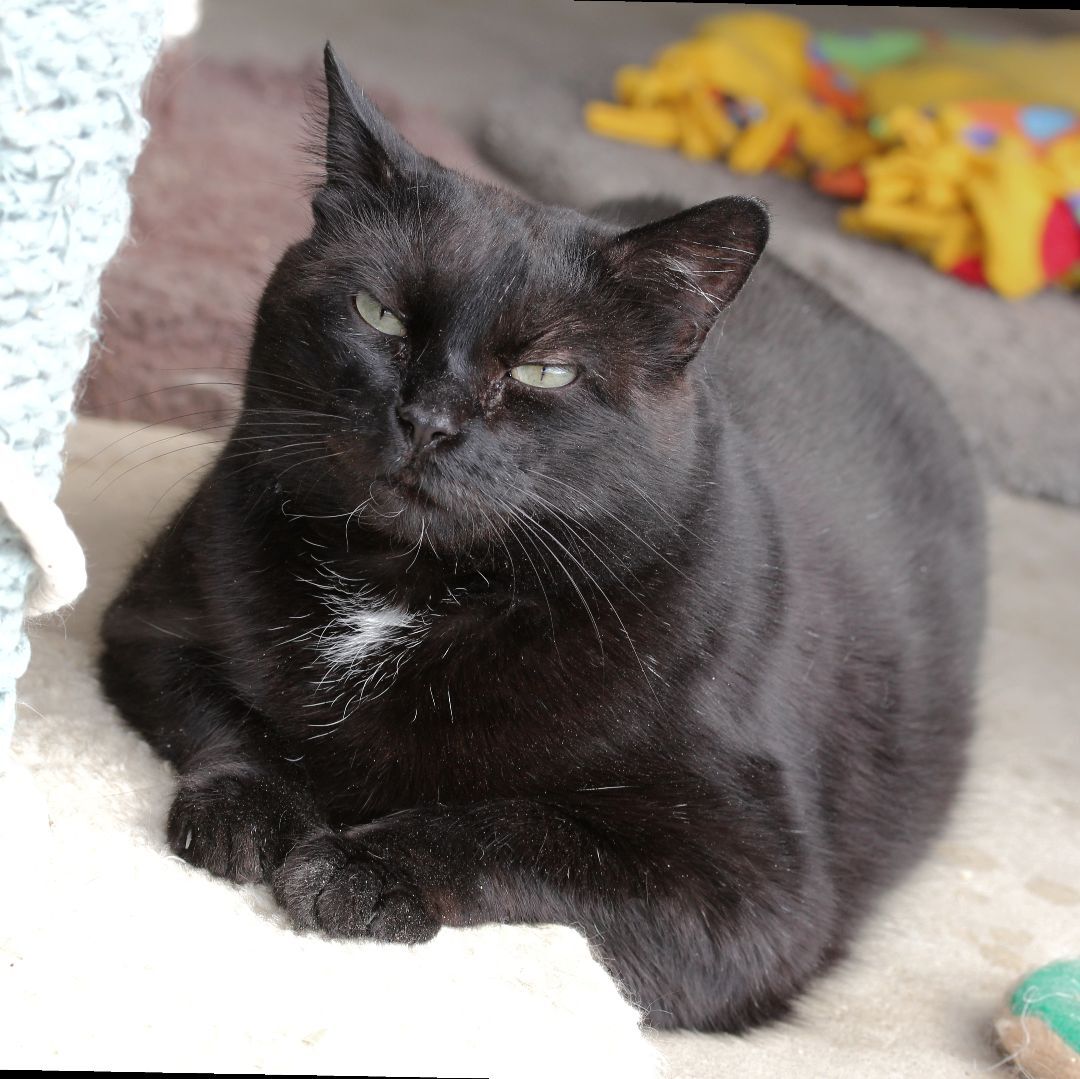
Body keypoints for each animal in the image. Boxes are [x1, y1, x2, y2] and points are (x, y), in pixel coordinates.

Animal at [101, 46, 989, 1032]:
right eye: (378, 315)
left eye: (544, 372)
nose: (428, 419)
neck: (401, 591)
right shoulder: (153, 626)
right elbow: (235, 722)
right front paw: (253, 810)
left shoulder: (751, 889)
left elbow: (524, 829)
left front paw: (364, 867)